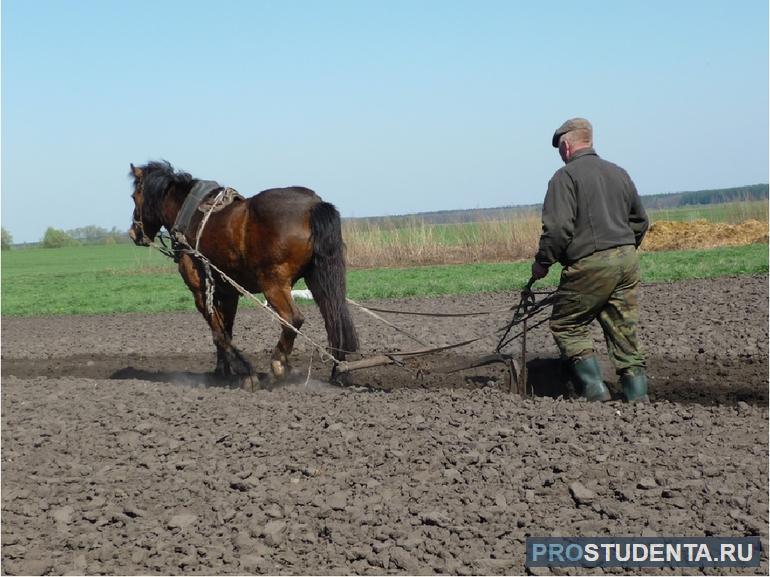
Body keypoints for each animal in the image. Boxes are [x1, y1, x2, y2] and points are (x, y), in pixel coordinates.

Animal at [127, 160, 358, 380]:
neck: (190, 218)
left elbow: (218, 332)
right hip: (317, 279)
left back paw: (278, 365)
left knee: (293, 320)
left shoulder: (200, 291)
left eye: (134, 196)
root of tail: (313, 205)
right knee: (333, 318)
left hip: (273, 283)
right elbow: (225, 330)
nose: (133, 233)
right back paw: (337, 370)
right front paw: (222, 369)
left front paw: (243, 369)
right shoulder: (228, 291)